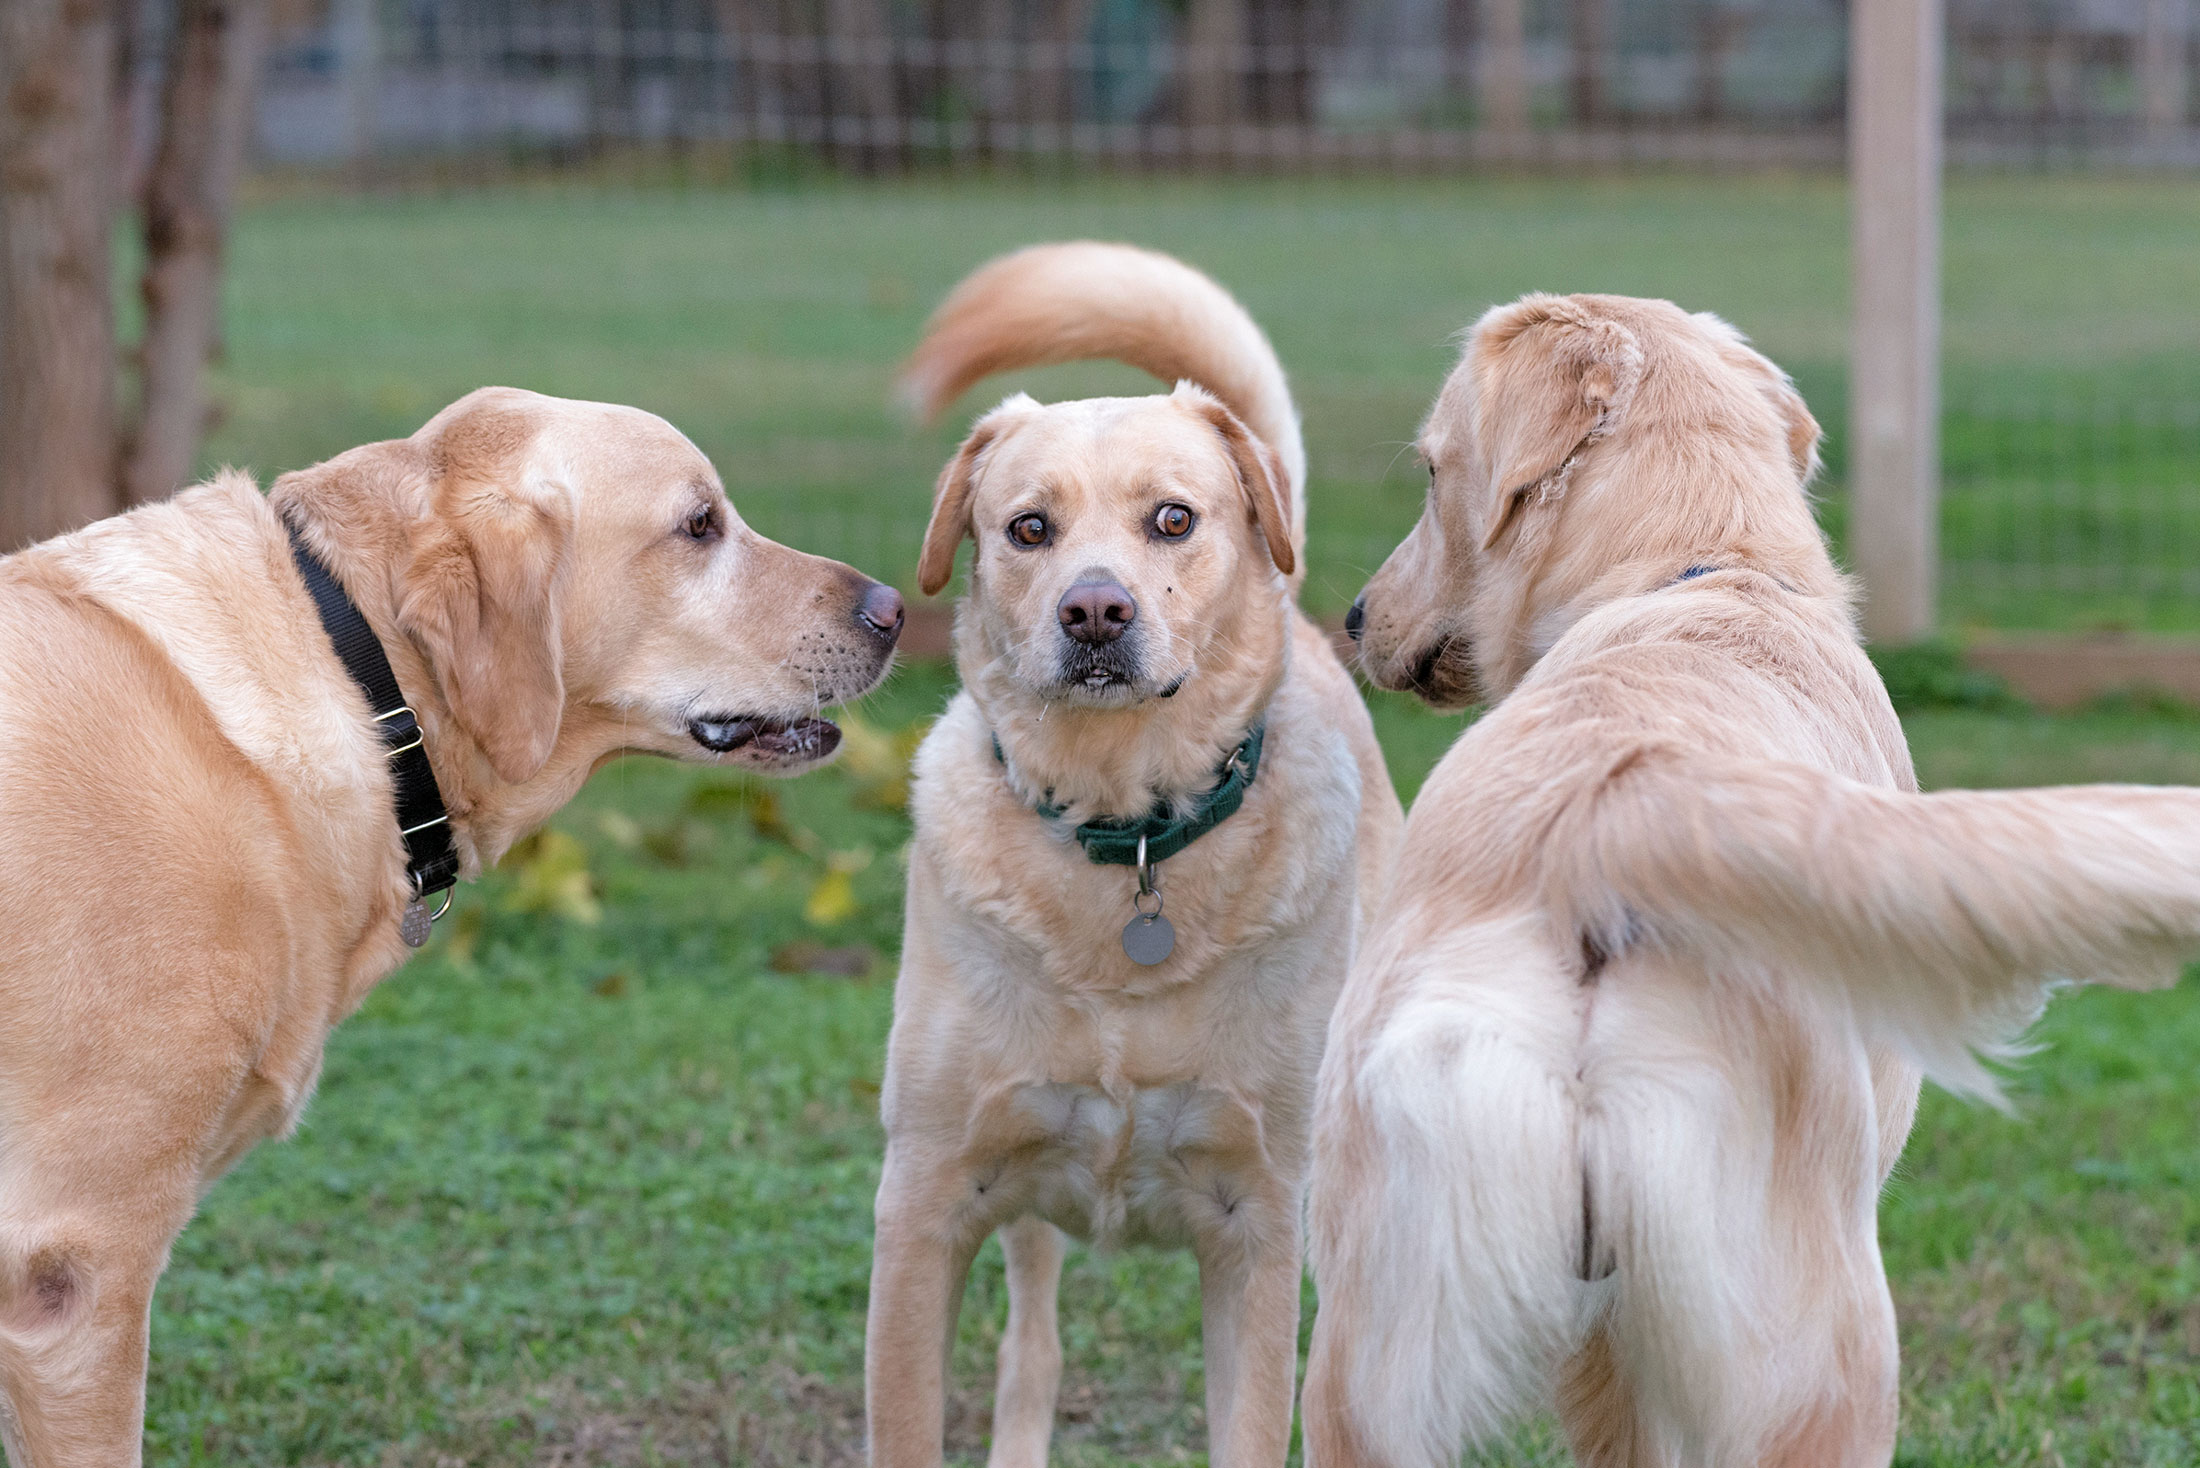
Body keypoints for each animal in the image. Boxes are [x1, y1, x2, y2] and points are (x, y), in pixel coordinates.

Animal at [864, 242, 1403, 1468]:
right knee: (1032, 1347)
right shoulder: (924, 1203)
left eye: (1172, 519)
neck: (1130, 841)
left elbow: (1252, 1424)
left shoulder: (1258, 1223)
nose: (1096, 612)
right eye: (1027, 529)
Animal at [1302, 293, 2200, 1468]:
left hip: (1365, 1353)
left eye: (1426, 470)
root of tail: (1601, 818)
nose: (1354, 618)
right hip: (1826, 1354)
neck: (1705, 567)